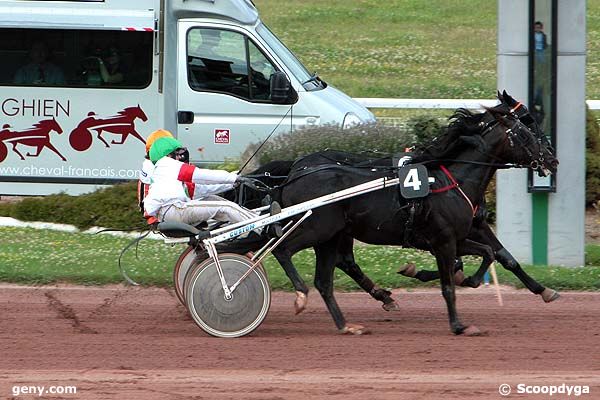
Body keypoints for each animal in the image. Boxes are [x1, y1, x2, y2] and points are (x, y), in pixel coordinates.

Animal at [268, 104, 556, 334]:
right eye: (526, 132)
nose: (553, 160)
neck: (452, 182)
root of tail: (294, 174)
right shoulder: (444, 241)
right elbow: (450, 283)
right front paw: (458, 324)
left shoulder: (458, 236)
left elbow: (492, 254)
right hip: (316, 228)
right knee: (283, 249)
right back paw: (302, 296)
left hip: (331, 236)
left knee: (327, 278)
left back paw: (349, 323)